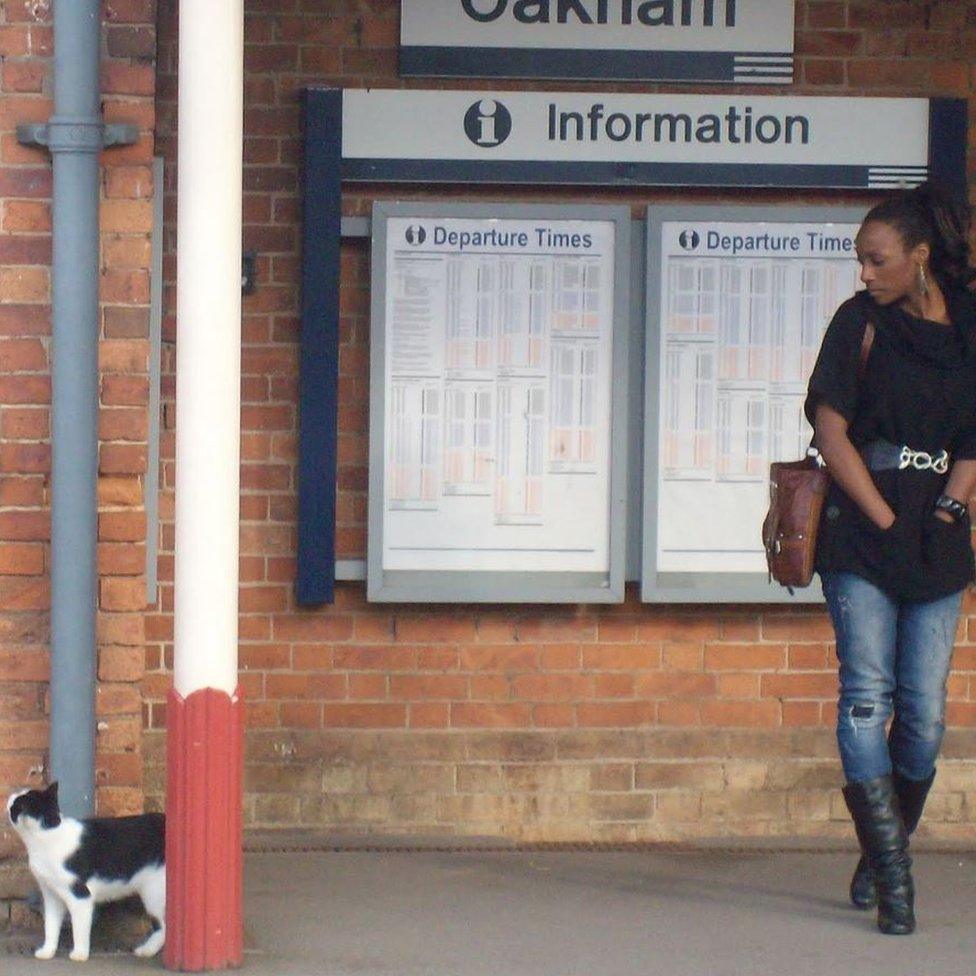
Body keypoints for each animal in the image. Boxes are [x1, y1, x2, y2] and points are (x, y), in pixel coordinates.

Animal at [7, 776, 166, 960]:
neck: (48, 832)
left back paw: (147, 950)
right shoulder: (51, 895)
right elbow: (51, 925)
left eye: (16, 802)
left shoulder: (81, 896)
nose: (10, 796)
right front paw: (47, 951)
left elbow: (79, 928)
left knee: (164, 926)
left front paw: (80, 954)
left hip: (155, 894)